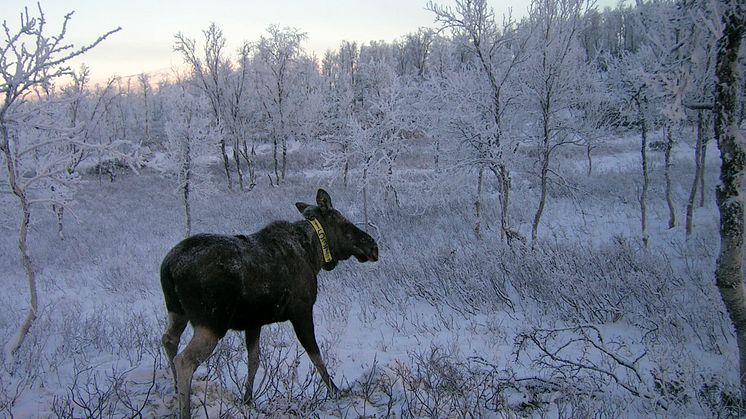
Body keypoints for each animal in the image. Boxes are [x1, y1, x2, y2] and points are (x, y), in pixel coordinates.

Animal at [158, 190, 378, 419]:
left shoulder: (254, 322)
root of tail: (169, 267)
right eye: (346, 225)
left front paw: (248, 400)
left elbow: (253, 361)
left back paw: (176, 389)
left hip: (177, 311)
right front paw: (336, 392)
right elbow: (316, 356)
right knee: (185, 360)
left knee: (169, 339)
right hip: (212, 322)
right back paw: (185, 409)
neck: (314, 255)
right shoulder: (302, 310)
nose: (373, 247)